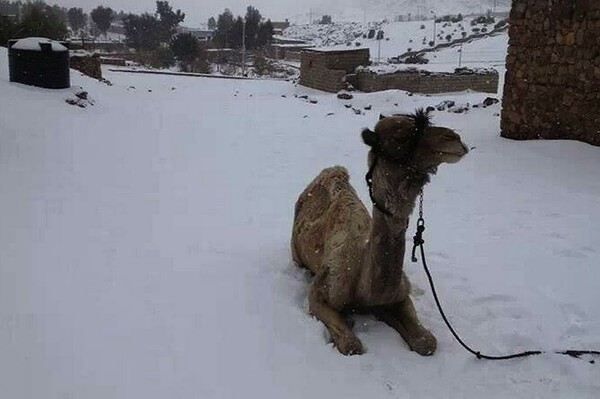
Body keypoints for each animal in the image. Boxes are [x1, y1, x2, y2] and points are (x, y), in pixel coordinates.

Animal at [290, 110, 468, 356]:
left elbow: (427, 341)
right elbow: (352, 345)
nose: (455, 139)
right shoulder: (319, 293)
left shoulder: (400, 295)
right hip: (296, 255)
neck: (365, 286)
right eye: (400, 136)